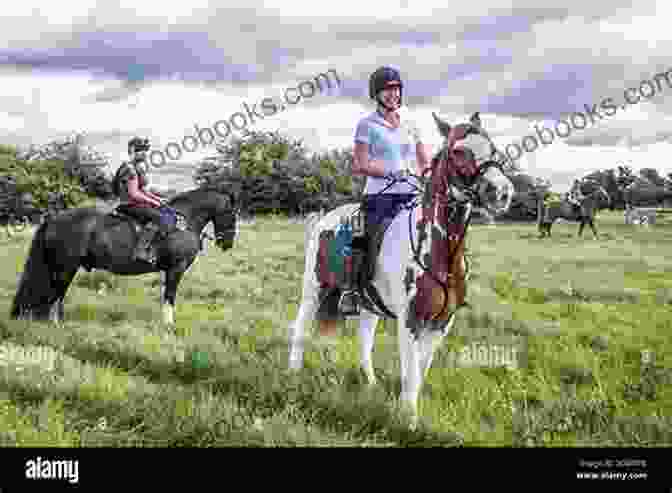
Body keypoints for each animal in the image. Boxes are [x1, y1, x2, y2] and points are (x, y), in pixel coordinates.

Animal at [9, 186, 239, 324]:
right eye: (232, 214)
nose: (227, 243)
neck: (184, 222)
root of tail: (54, 218)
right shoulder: (176, 269)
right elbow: (170, 296)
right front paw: (168, 325)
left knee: (56, 293)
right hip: (65, 267)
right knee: (57, 293)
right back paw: (55, 323)